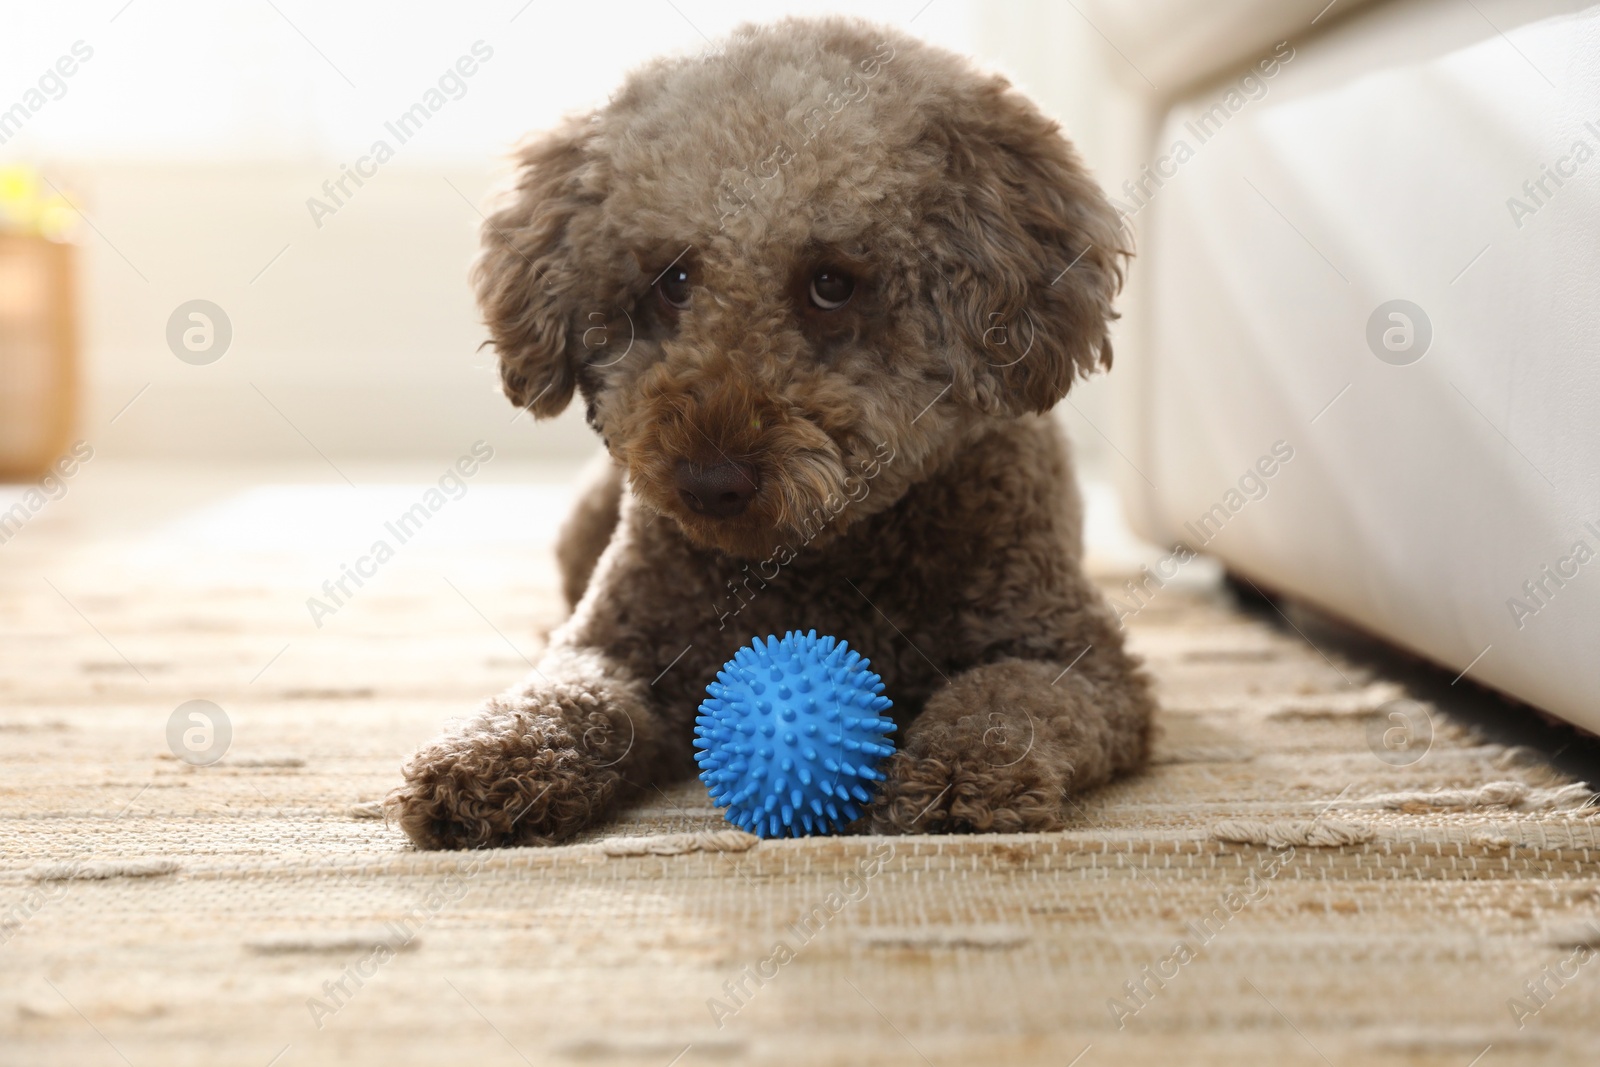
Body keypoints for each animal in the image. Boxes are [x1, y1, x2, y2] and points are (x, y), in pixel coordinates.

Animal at [392, 14, 1158, 851]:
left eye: (831, 284)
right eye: (674, 280)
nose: (708, 482)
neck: (821, 559)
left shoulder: (1078, 660)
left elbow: (1007, 698)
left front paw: (956, 773)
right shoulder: (625, 641)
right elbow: (571, 692)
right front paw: (490, 755)